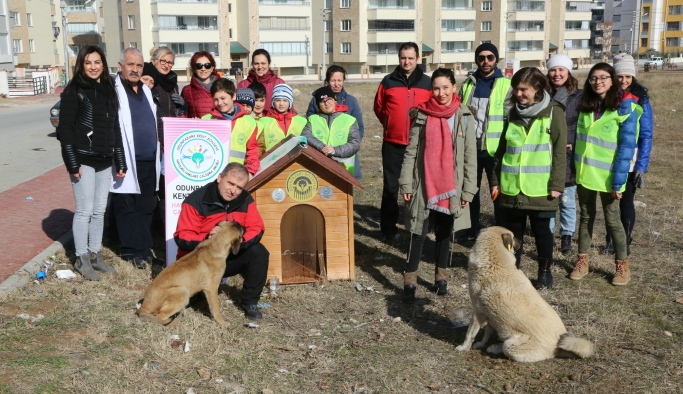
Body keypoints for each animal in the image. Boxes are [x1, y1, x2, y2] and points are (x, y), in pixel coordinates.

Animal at [456, 226, 596, 362]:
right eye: (514, 237)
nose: (520, 240)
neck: (494, 264)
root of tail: (558, 348)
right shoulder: (490, 317)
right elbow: (487, 334)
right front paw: (481, 344)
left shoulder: (477, 312)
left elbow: (470, 334)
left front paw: (463, 348)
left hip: (511, 345)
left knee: (505, 347)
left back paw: (494, 348)